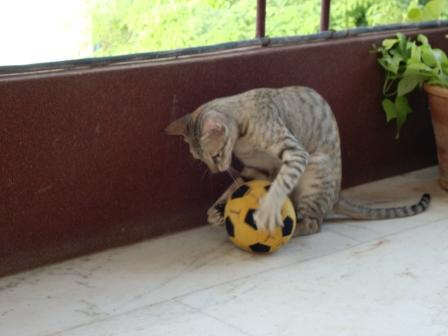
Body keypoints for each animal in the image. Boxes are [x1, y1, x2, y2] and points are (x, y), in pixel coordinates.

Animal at [165, 85, 430, 235]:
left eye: (215, 155)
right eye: (200, 158)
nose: (216, 169)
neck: (242, 142)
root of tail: (337, 195)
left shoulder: (295, 153)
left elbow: (279, 185)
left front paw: (267, 211)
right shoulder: (255, 168)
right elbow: (236, 187)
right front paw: (218, 208)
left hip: (314, 174)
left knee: (313, 223)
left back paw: (291, 228)